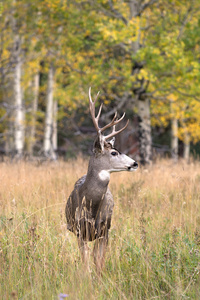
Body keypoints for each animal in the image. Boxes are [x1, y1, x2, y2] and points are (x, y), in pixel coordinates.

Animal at [65, 88, 138, 274]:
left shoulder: (105, 230)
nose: (135, 163)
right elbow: (85, 263)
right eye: (114, 153)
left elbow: (99, 262)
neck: (91, 205)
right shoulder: (79, 230)